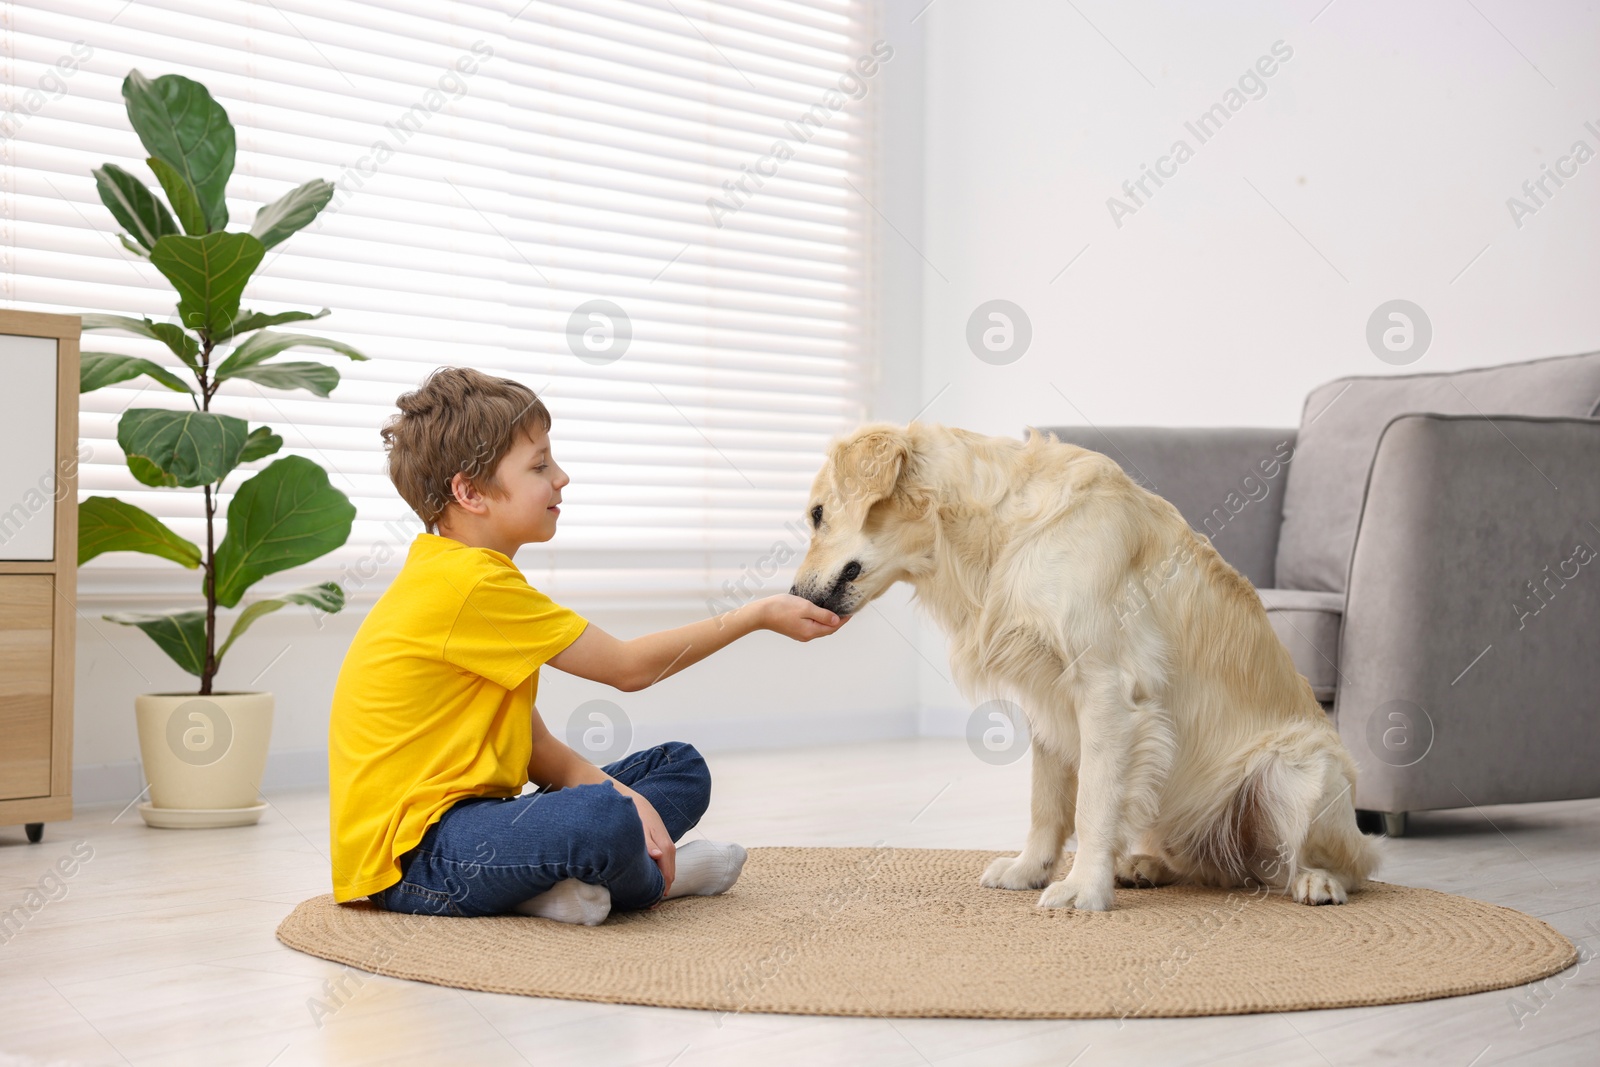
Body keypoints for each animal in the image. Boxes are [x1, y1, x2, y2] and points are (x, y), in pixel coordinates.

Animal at [787, 422, 1376, 915]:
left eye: (816, 514)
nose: (793, 594)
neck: (1001, 531)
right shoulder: (1045, 695)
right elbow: (1046, 803)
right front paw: (1029, 869)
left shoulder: (1105, 689)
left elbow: (1093, 802)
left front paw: (1083, 888)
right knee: (1211, 866)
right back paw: (1145, 864)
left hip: (1299, 770)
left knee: (1347, 865)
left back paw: (1317, 880)